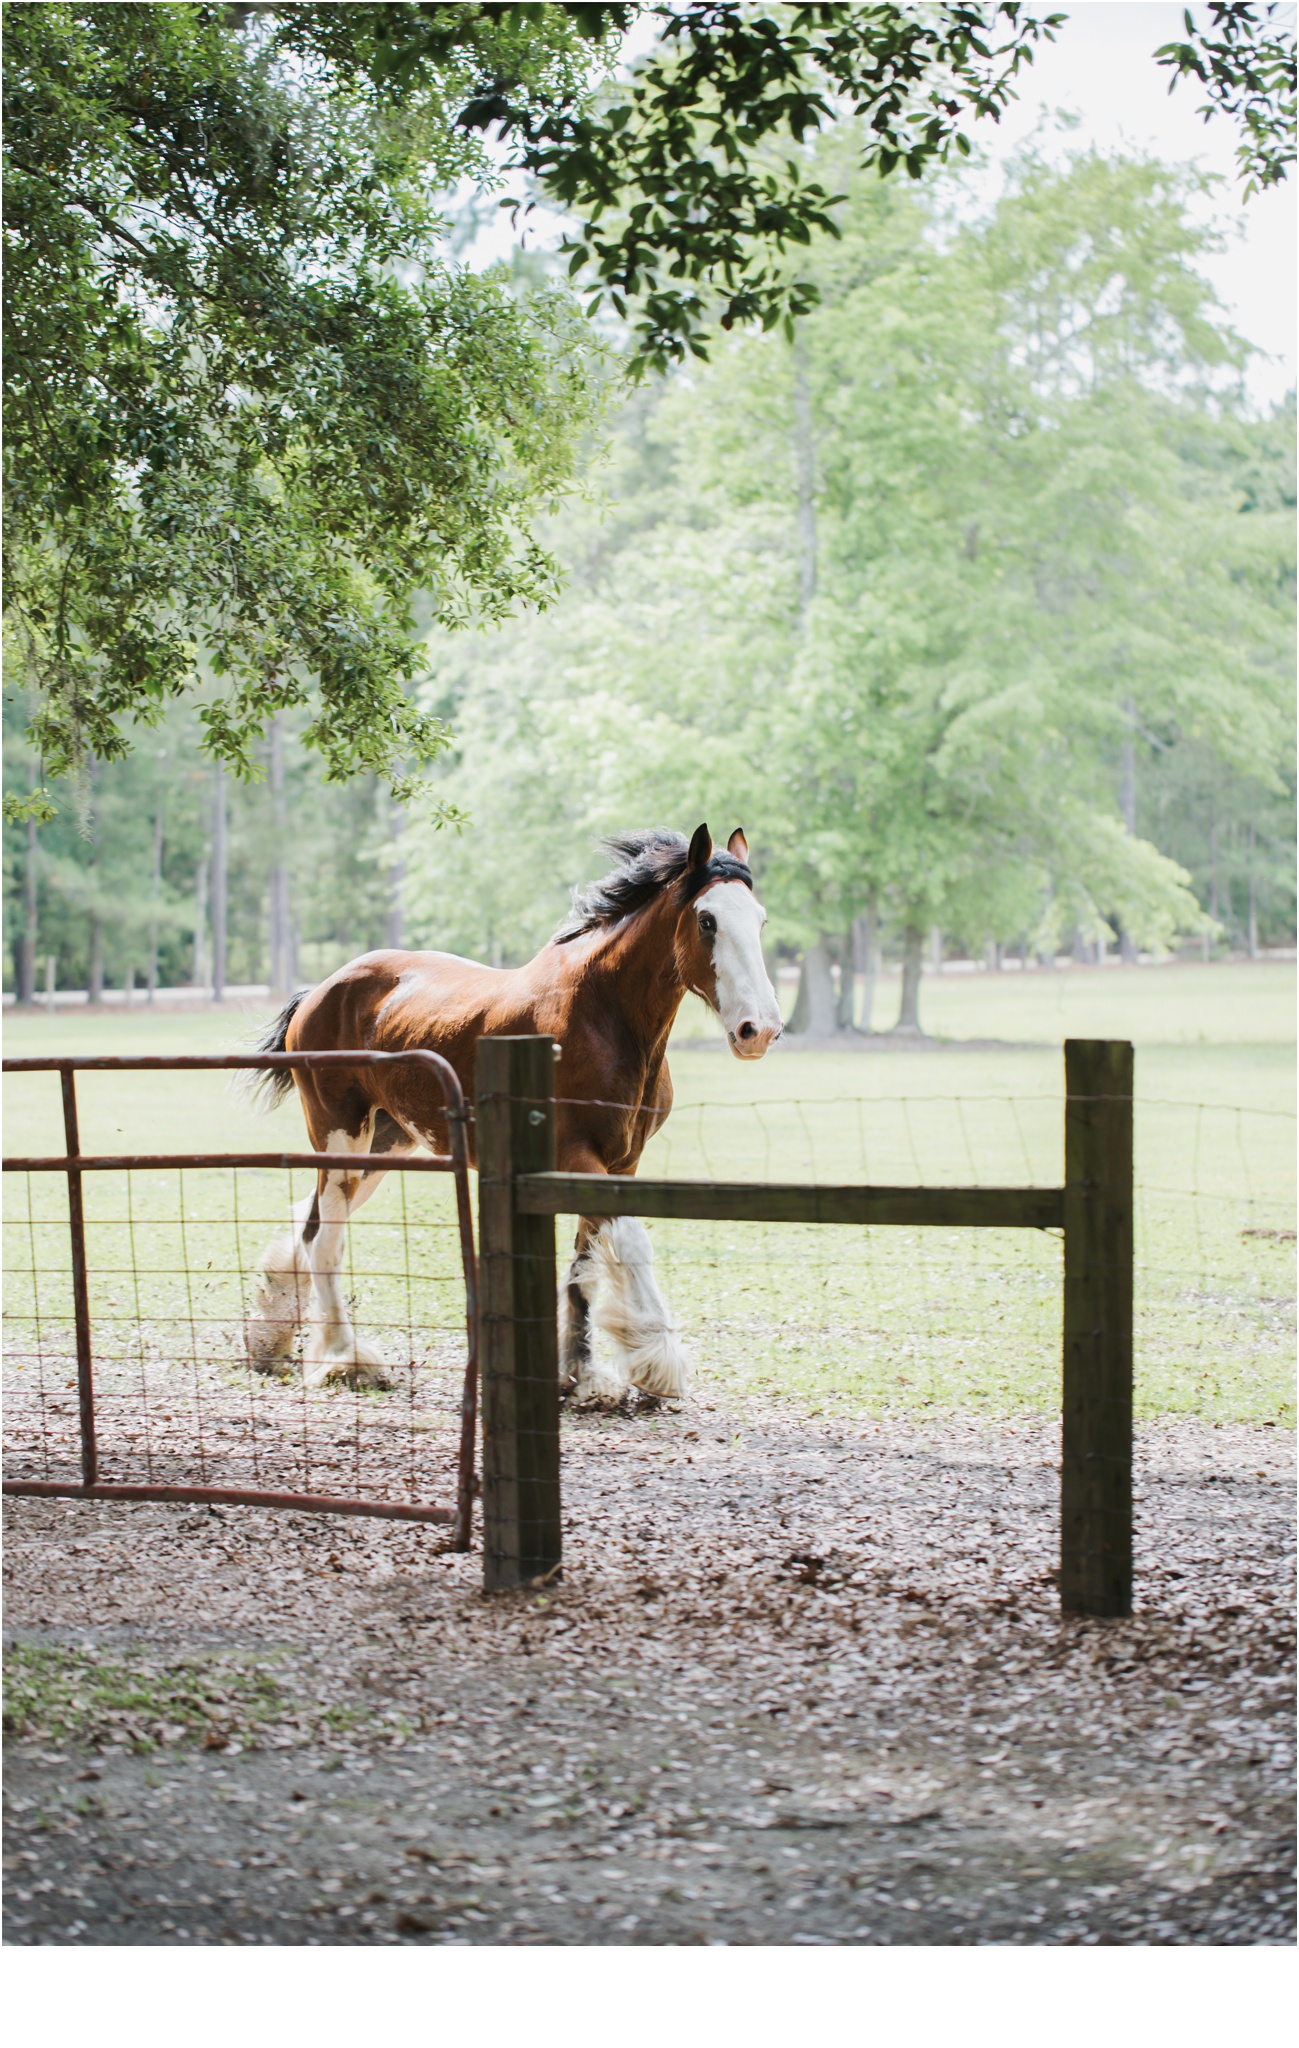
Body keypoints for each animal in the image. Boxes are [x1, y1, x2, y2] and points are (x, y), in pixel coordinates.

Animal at [244, 823, 778, 1400]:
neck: (600, 1014)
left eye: (761, 919)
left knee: (309, 1226)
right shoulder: (576, 1155)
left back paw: (271, 1335)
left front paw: (582, 1375)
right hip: (342, 1135)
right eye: (707, 920)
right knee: (326, 1240)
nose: (759, 1030)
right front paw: (656, 1361)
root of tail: (317, 993)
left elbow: (585, 1267)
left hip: (387, 1142)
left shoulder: (621, 1162)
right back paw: (347, 1357)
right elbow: (630, 1242)